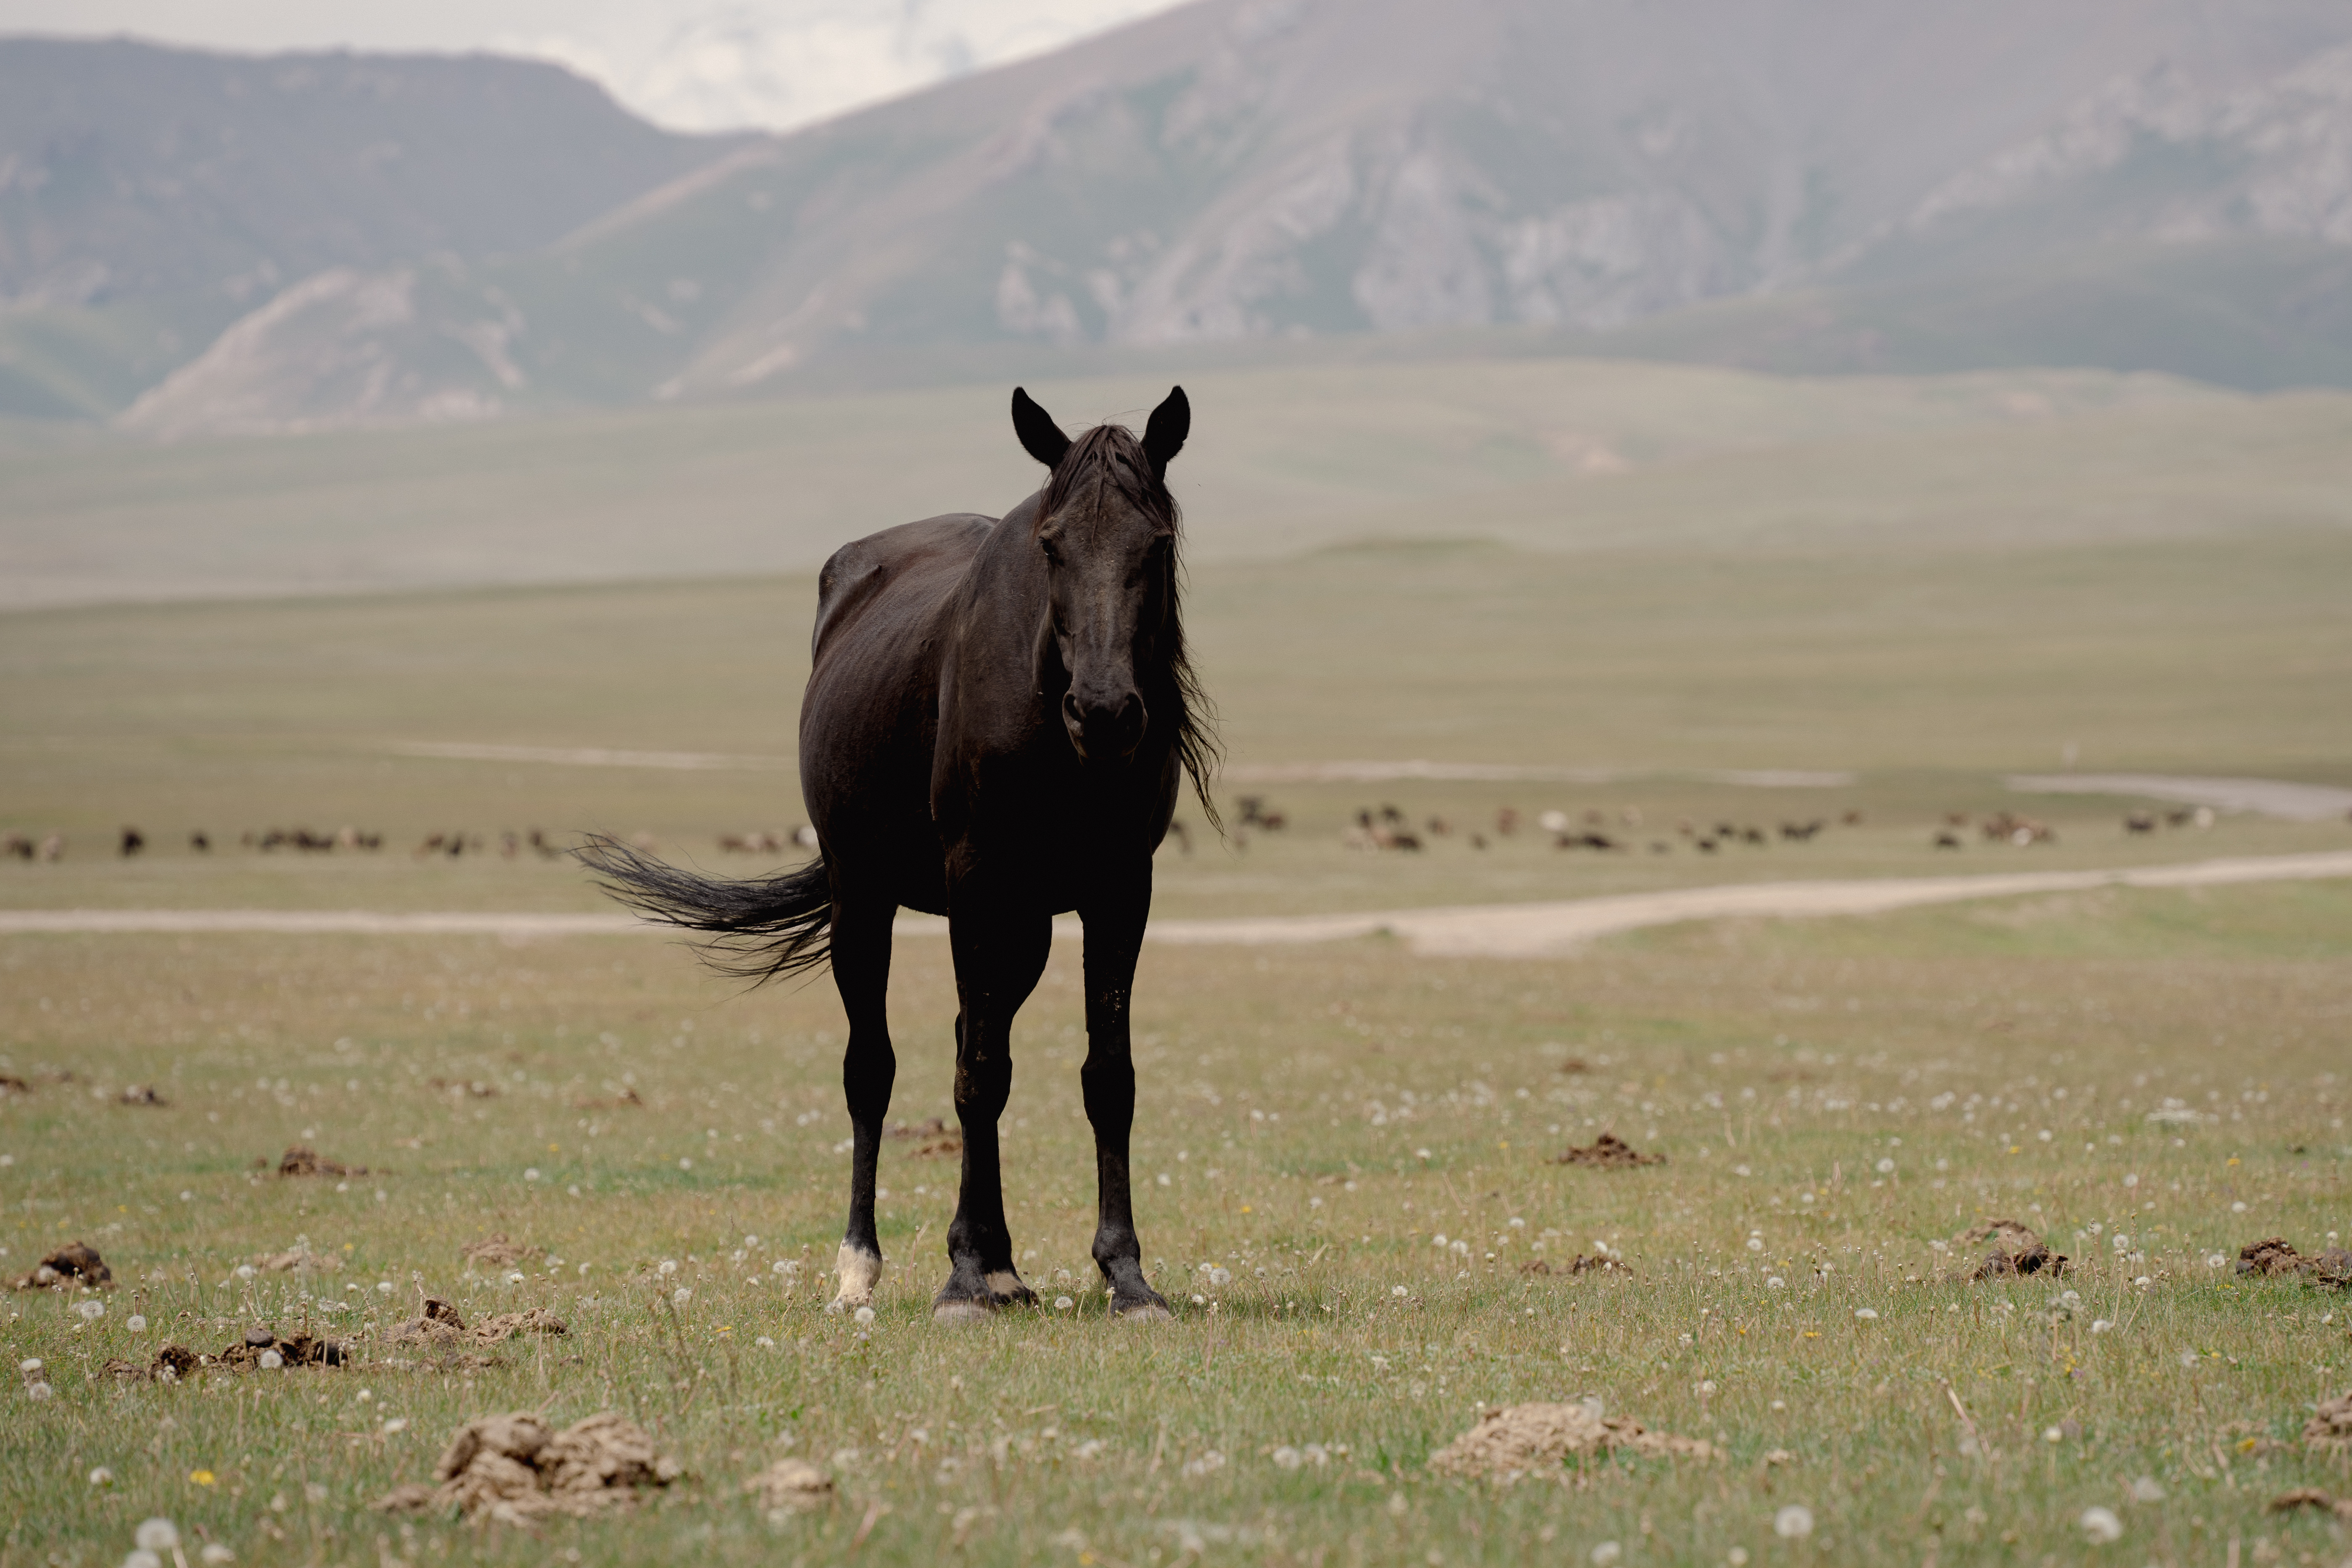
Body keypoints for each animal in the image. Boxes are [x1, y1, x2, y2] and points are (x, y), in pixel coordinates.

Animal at [581, 386, 1213, 1324]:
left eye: (1158, 542)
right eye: (1052, 543)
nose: (1103, 712)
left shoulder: (1118, 886)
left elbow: (1106, 1074)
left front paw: (1125, 1276)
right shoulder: (974, 877)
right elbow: (977, 1076)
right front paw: (961, 1279)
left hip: (1021, 926)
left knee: (970, 1036)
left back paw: (1004, 1264)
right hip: (865, 895)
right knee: (872, 1068)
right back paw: (864, 1266)